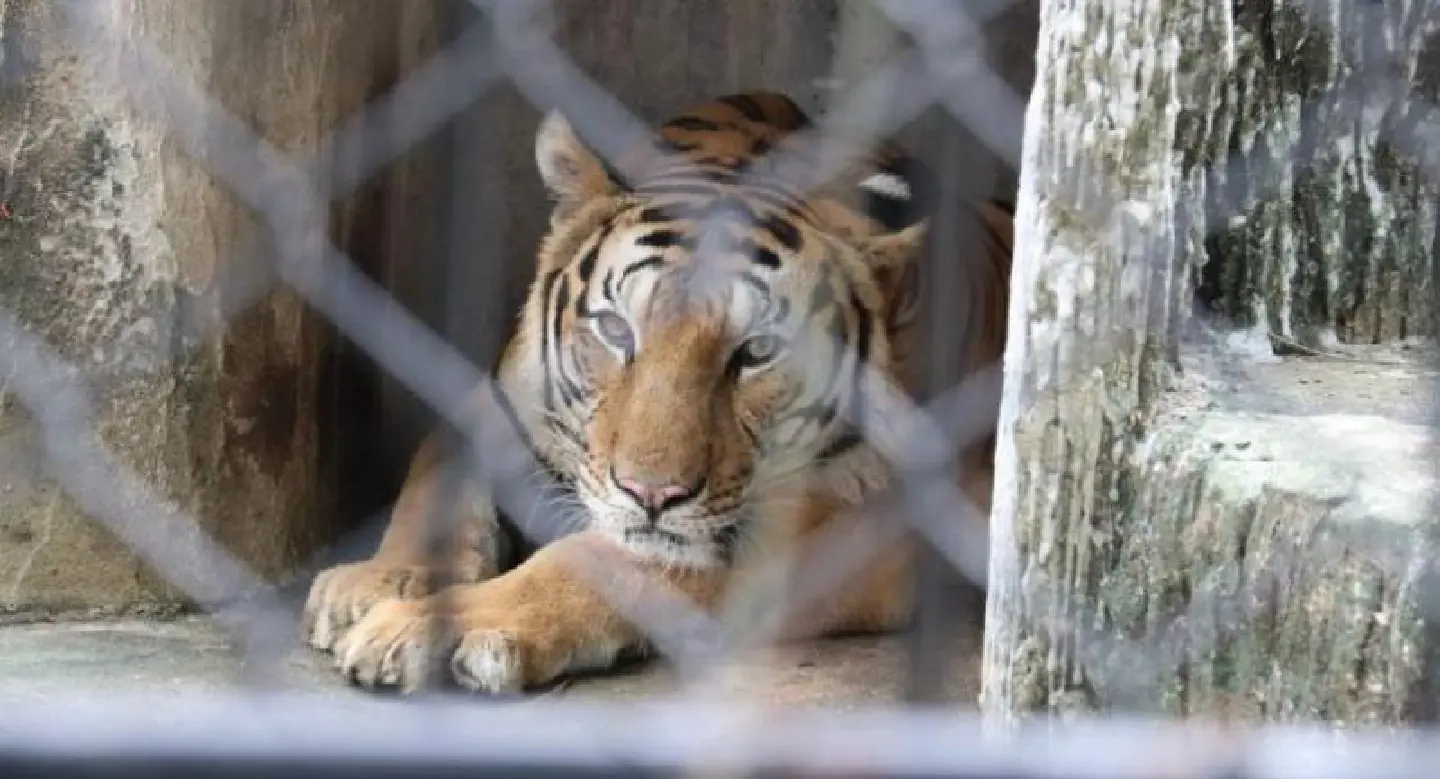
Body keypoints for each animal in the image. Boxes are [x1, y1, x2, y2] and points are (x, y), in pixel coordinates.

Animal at [301, 91, 1014, 694]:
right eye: (617, 330)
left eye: (758, 351)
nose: (651, 495)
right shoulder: (492, 405)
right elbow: (436, 490)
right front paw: (373, 583)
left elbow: (603, 563)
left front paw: (420, 627)